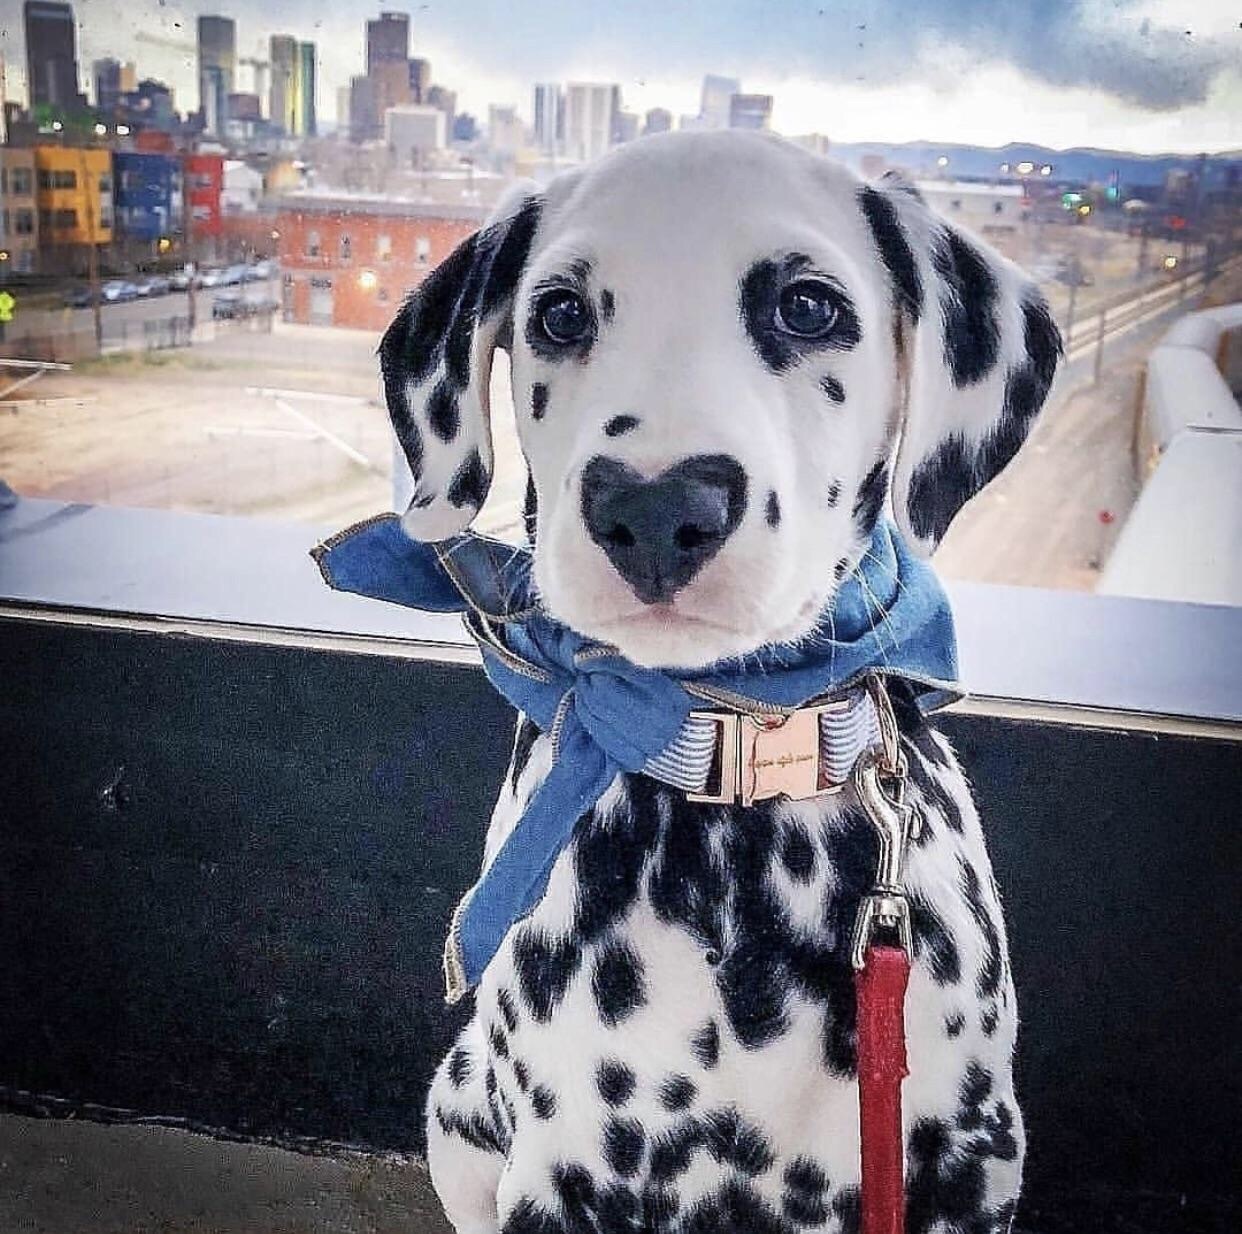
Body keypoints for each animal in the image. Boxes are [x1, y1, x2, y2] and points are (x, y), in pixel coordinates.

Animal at [377, 129, 1058, 1226]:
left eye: (808, 306)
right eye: (559, 313)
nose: (655, 507)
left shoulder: (970, 1159)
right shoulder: (563, 1174)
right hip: (460, 1110)